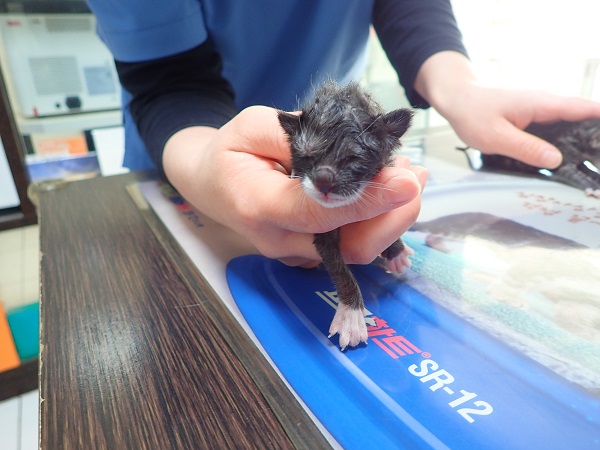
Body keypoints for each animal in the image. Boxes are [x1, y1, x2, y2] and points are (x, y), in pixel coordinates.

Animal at [278, 81, 414, 352]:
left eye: (353, 158)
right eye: (307, 156)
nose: (323, 179)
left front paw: (396, 252)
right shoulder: (323, 233)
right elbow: (340, 269)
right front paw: (351, 315)